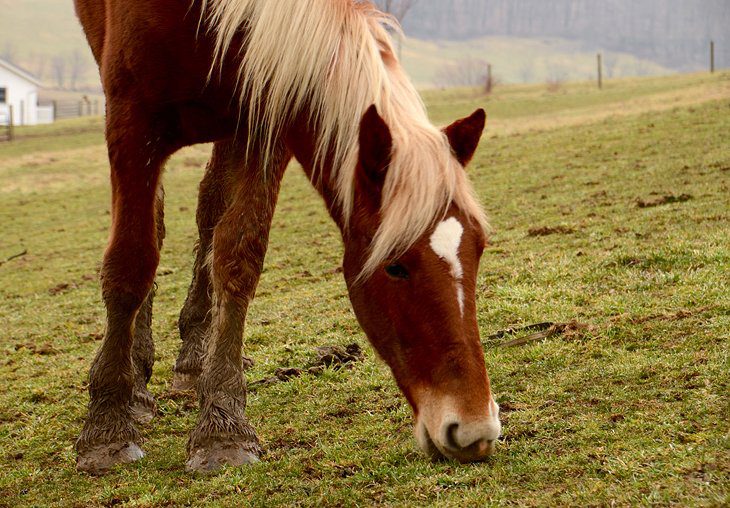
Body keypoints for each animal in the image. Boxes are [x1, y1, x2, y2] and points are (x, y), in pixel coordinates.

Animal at [74, 0, 500, 474]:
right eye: (396, 267)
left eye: (478, 249)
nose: (474, 429)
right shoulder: (131, 123)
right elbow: (131, 260)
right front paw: (107, 427)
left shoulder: (264, 121)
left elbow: (239, 257)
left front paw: (222, 430)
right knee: (157, 224)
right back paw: (138, 382)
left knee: (209, 211)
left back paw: (195, 356)